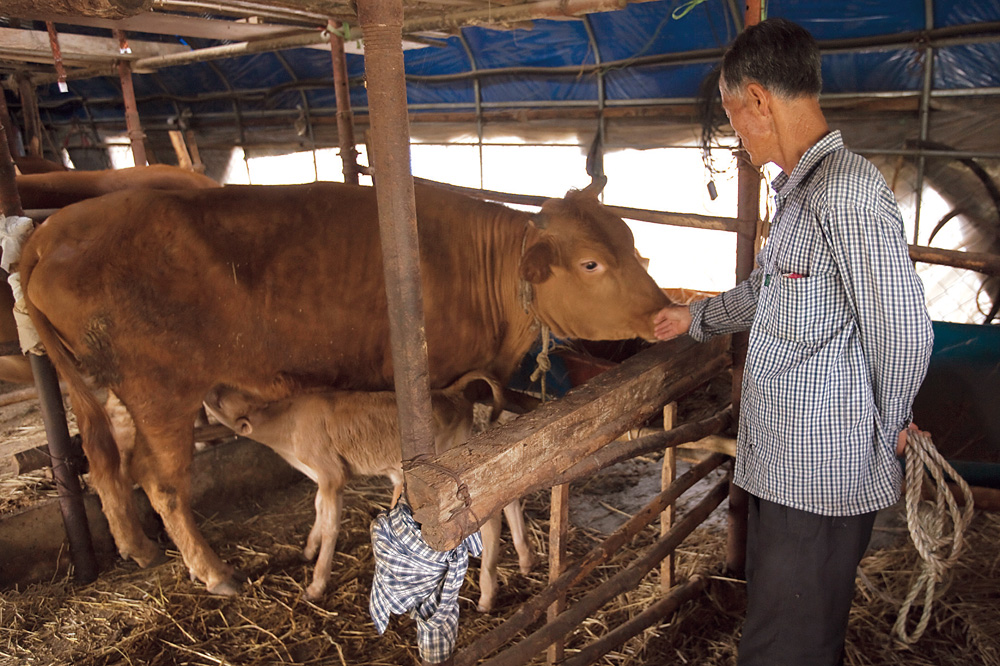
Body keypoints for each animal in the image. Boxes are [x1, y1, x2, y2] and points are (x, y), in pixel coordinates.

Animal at [199, 368, 536, 608]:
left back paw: (487, 595)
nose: (209, 389)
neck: (286, 427)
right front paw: (308, 549)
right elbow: (318, 510)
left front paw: (316, 585)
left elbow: (331, 524)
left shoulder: (331, 474)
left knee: (490, 519)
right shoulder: (320, 479)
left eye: (220, 400)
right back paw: (524, 560)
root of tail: (449, 392)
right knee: (507, 496)